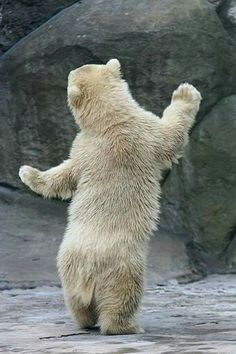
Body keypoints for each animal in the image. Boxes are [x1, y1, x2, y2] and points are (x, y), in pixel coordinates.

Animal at [19, 58, 202, 334]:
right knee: (123, 297)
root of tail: (87, 270)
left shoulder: (81, 150)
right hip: (122, 267)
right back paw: (127, 326)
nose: (68, 74)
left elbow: (64, 174)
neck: (111, 121)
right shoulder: (146, 131)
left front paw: (27, 173)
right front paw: (185, 92)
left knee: (76, 302)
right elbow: (171, 135)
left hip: (66, 265)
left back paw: (85, 321)